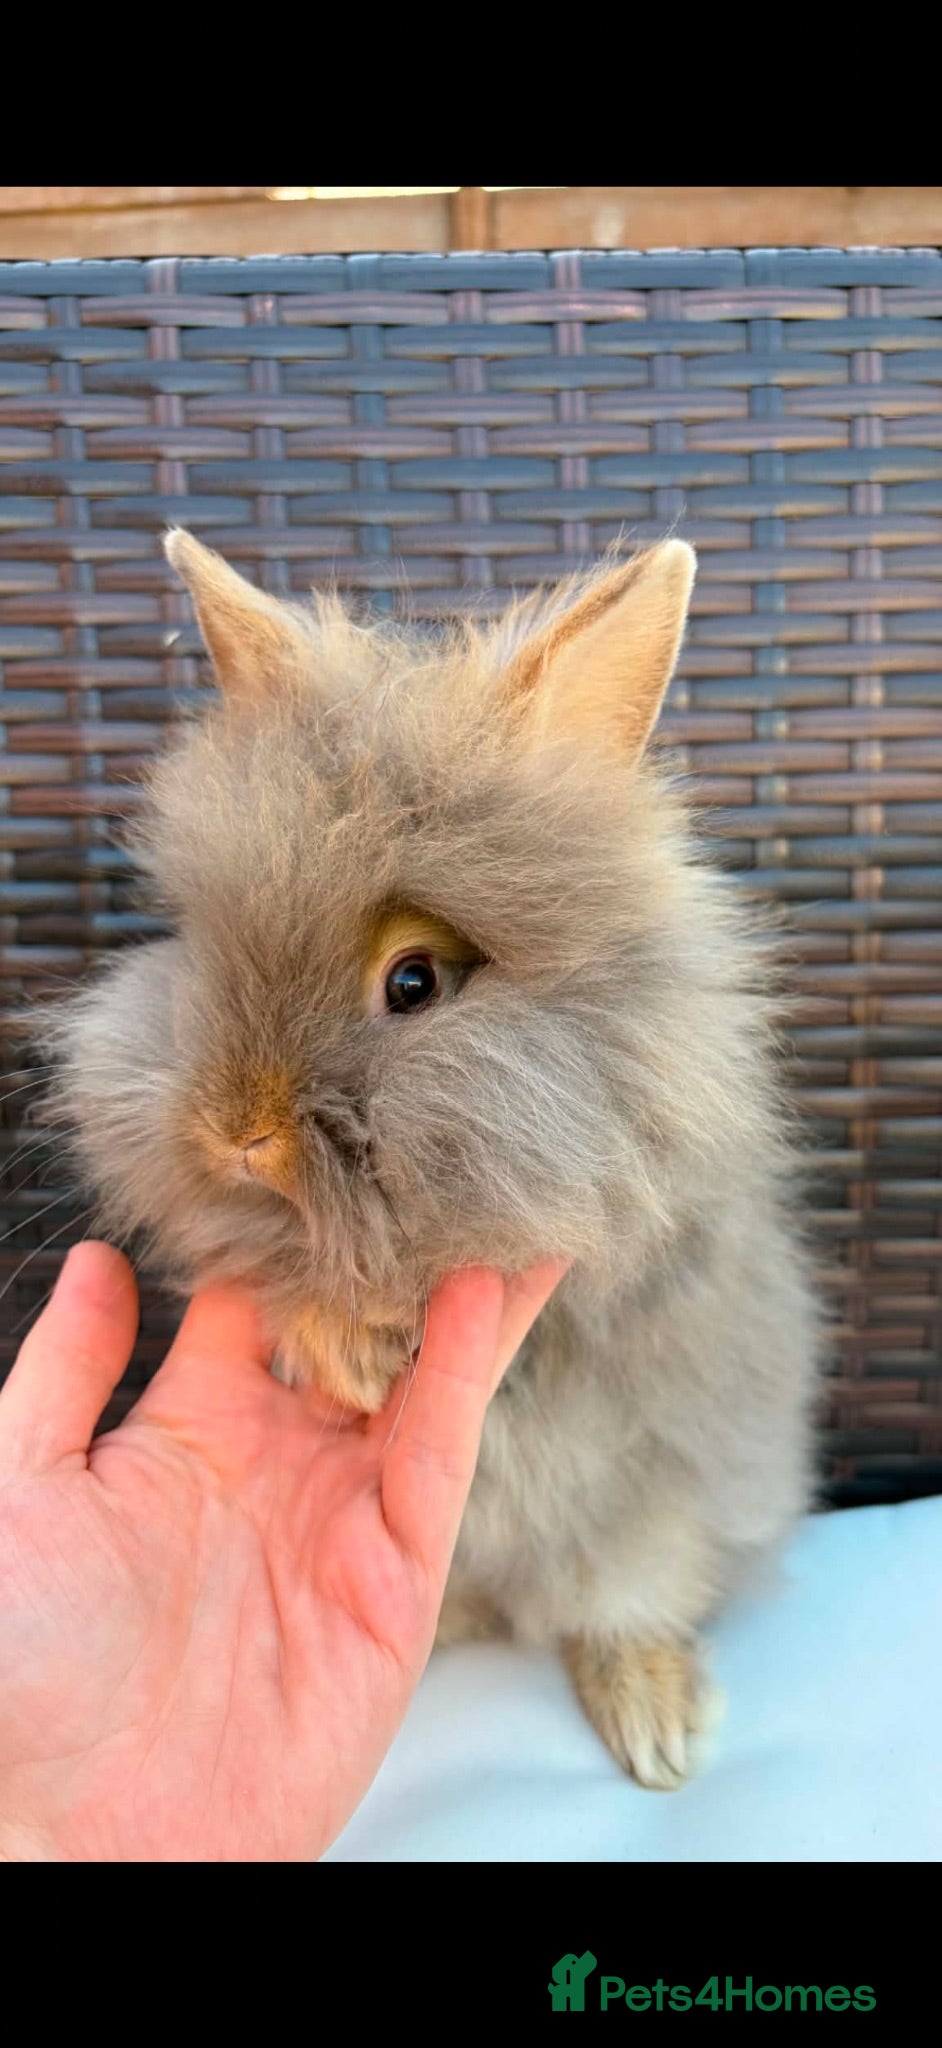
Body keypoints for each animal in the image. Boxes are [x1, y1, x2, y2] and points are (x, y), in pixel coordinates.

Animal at [39, 530, 821, 1789]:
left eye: (414, 981)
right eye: (205, 947)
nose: (234, 1132)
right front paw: (349, 1353)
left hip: (654, 1516)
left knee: (621, 1600)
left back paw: (656, 1723)